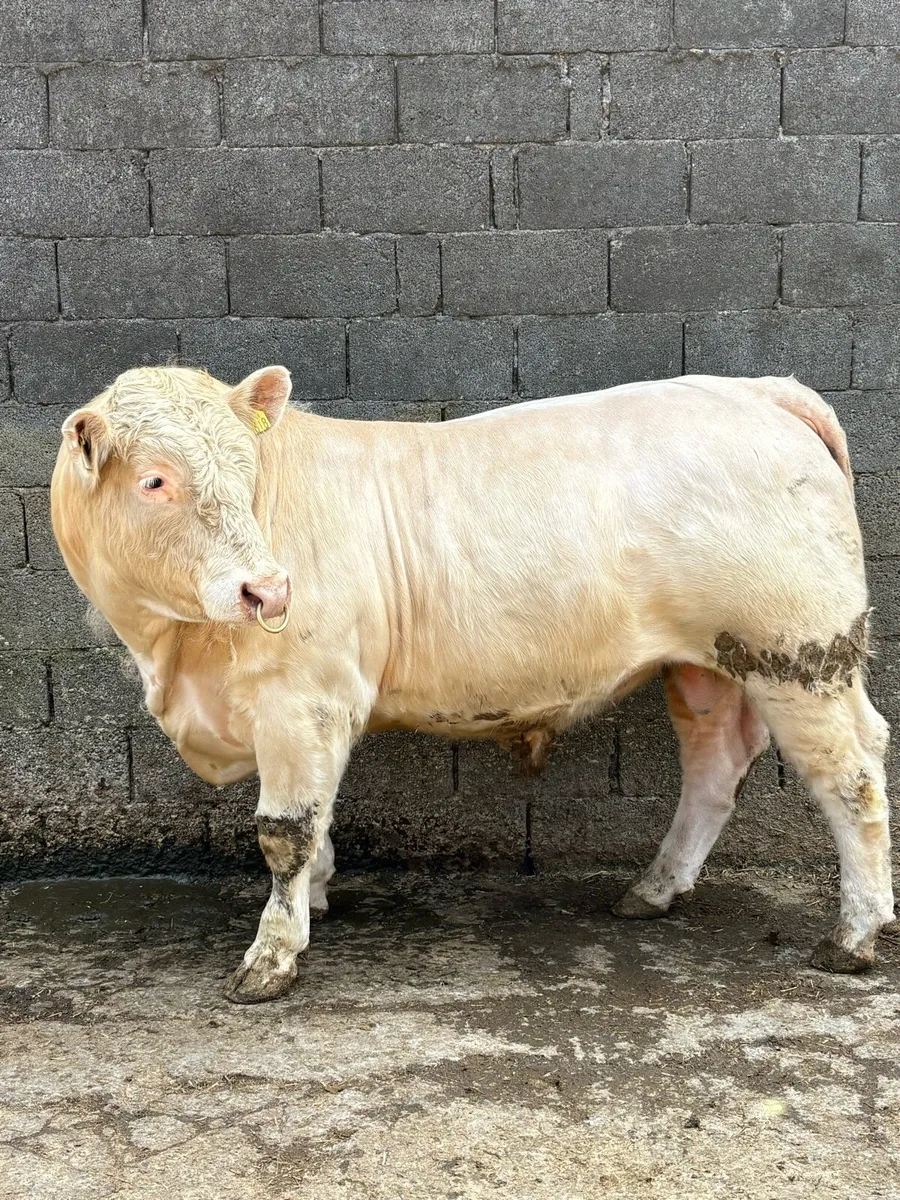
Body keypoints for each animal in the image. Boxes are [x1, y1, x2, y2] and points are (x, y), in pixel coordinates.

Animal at [50, 365, 894, 1003]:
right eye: (155, 480)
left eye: (245, 470)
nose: (269, 590)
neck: (174, 654)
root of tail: (755, 389)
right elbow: (317, 817)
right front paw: (316, 896)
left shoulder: (304, 698)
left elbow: (284, 830)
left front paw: (273, 956)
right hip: (708, 663)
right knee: (718, 763)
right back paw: (654, 889)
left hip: (798, 651)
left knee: (850, 773)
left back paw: (853, 934)